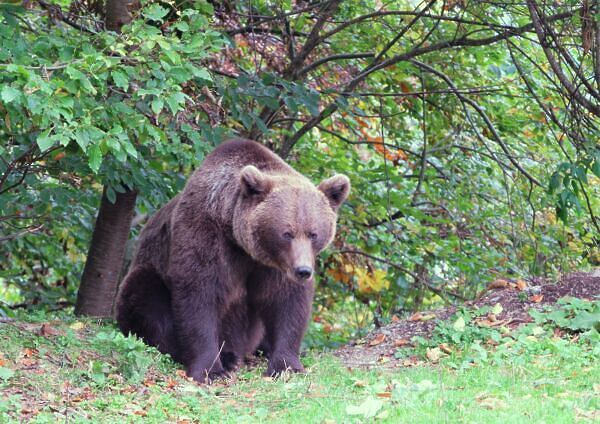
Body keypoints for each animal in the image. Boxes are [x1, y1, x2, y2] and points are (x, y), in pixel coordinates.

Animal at [115, 137, 350, 382]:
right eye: (287, 233)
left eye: (313, 233)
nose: (303, 270)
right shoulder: (206, 235)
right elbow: (199, 294)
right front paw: (211, 369)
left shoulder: (274, 266)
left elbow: (288, 302)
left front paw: (287, 364)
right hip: (148, 271)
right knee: (147, 300)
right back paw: (225, 356)